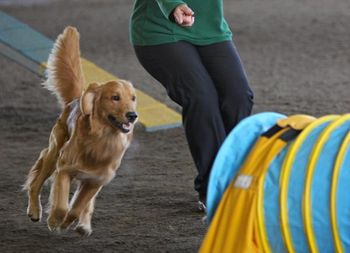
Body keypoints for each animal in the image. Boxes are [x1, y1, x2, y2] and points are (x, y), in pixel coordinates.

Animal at [23, 25, 137, 235]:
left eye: (133, 98)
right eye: (115, 97)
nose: (133, 115)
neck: (102, 140)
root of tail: (77, 98)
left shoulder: (96, 180)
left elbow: (77, 208)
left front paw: (68, 222)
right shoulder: (64, 169)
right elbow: (61, 205)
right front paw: (55, 221)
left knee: (84, 205)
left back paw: (84, 225)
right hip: (53, 154)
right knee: (36, 182)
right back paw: (35, 210)